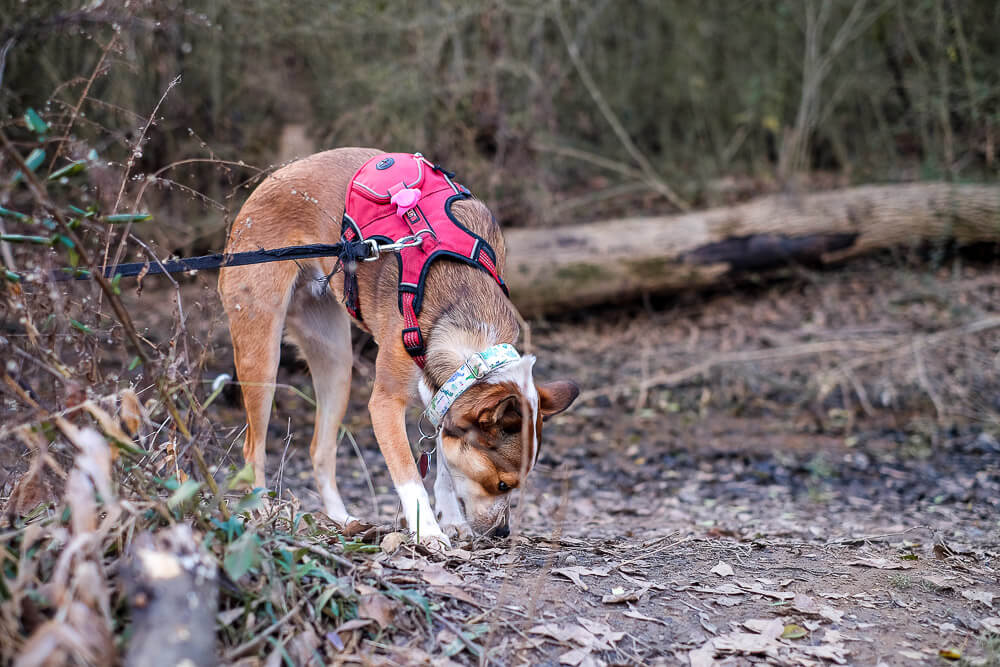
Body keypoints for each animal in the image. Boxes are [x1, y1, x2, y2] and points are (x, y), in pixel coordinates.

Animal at [219, 149, 580, 544]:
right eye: (502, 484)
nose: (502, 532)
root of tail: (272, 180)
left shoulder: (442, 397)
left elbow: (443, 467)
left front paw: (450, 518)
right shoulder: (384, 404)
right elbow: (408, 474)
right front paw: (429, 532)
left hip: (336, 364)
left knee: (320, 449)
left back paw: (343, 520)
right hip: (262, 357)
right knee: (253, 446)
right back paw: (261, 512)